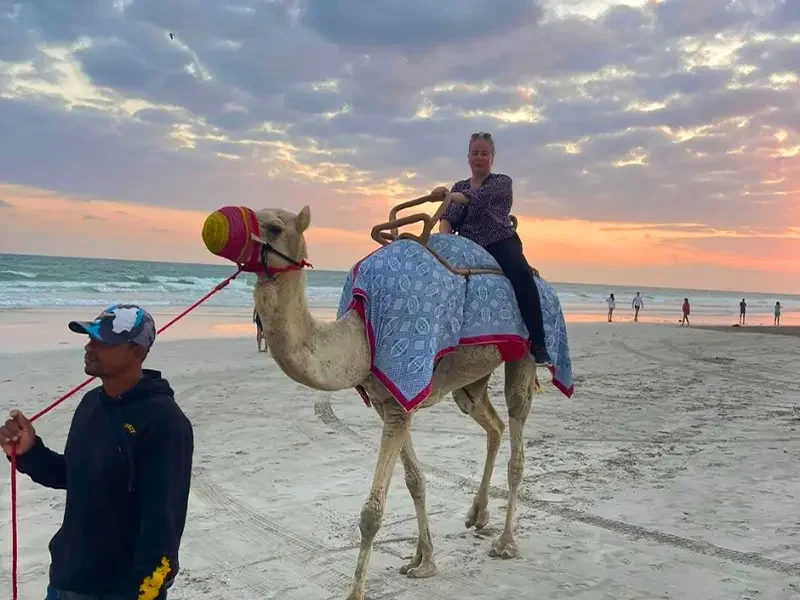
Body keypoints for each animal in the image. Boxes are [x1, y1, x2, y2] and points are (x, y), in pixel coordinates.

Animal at [250, 205, 538, 600]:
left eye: (275, 227)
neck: (360, 332)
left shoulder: (401, 398)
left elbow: (371, 513)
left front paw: (355, 593)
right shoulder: (388, 399)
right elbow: (415, 480)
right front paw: (423, 561)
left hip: (524, 353)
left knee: (516, 432)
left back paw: (507, 543)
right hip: (470, 381)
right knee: (492, 423)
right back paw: (477, 516)